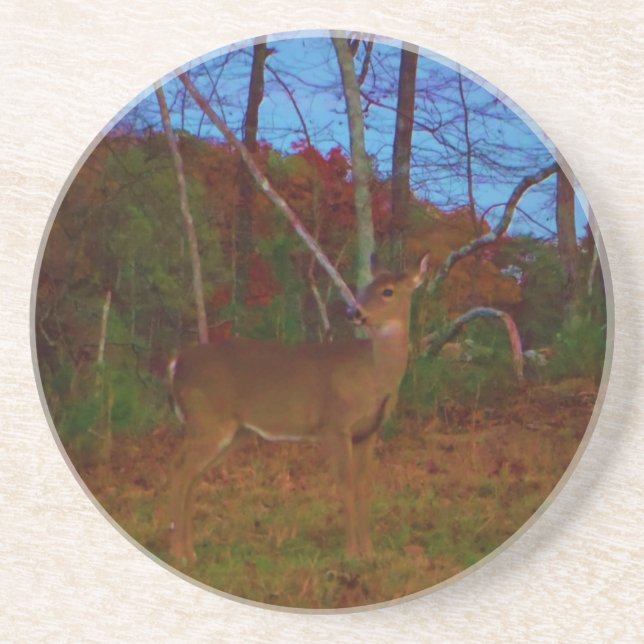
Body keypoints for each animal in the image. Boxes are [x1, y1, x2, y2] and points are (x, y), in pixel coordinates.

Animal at [167, 253, 430, 562]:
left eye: (388, 291)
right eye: (364, 288)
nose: (354, 311)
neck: (374, 374)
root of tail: (176, 363)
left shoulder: (368, 432)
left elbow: (363, 487)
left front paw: (369, 552)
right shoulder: (334, 424)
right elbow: (345, 484)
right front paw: (352, 553)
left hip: (231, 432)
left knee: (191, 475)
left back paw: (190, 550)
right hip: (207, 420)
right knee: (180, 472)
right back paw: (180, 553)